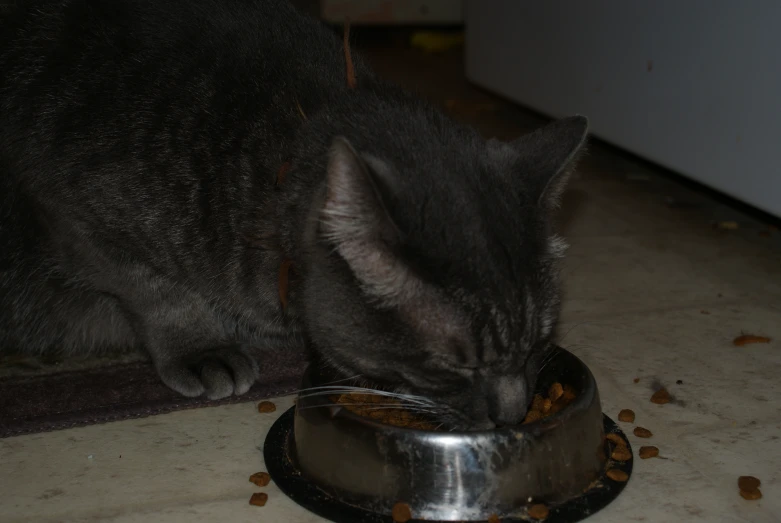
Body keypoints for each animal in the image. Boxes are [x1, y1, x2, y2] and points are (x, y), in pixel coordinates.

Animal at [0, 0, 584, 430]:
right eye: (454, 366)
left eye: (537, 344)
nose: (512, 416)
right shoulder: (66, 206)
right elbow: (152, 287)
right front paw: (201, 344)